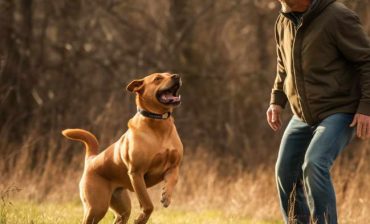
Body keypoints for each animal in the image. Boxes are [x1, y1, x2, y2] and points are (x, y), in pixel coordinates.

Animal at [64, 72, 185, 223]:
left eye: (169, 74)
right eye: (158, 78)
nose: (176, 76)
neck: (158, 124)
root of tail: (91, 159)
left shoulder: (173, 167)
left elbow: (173, 180)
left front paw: (166, 196)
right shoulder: (136, 173)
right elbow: (147, 203)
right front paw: (141, 219)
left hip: (122, 207)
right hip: (96, 207)